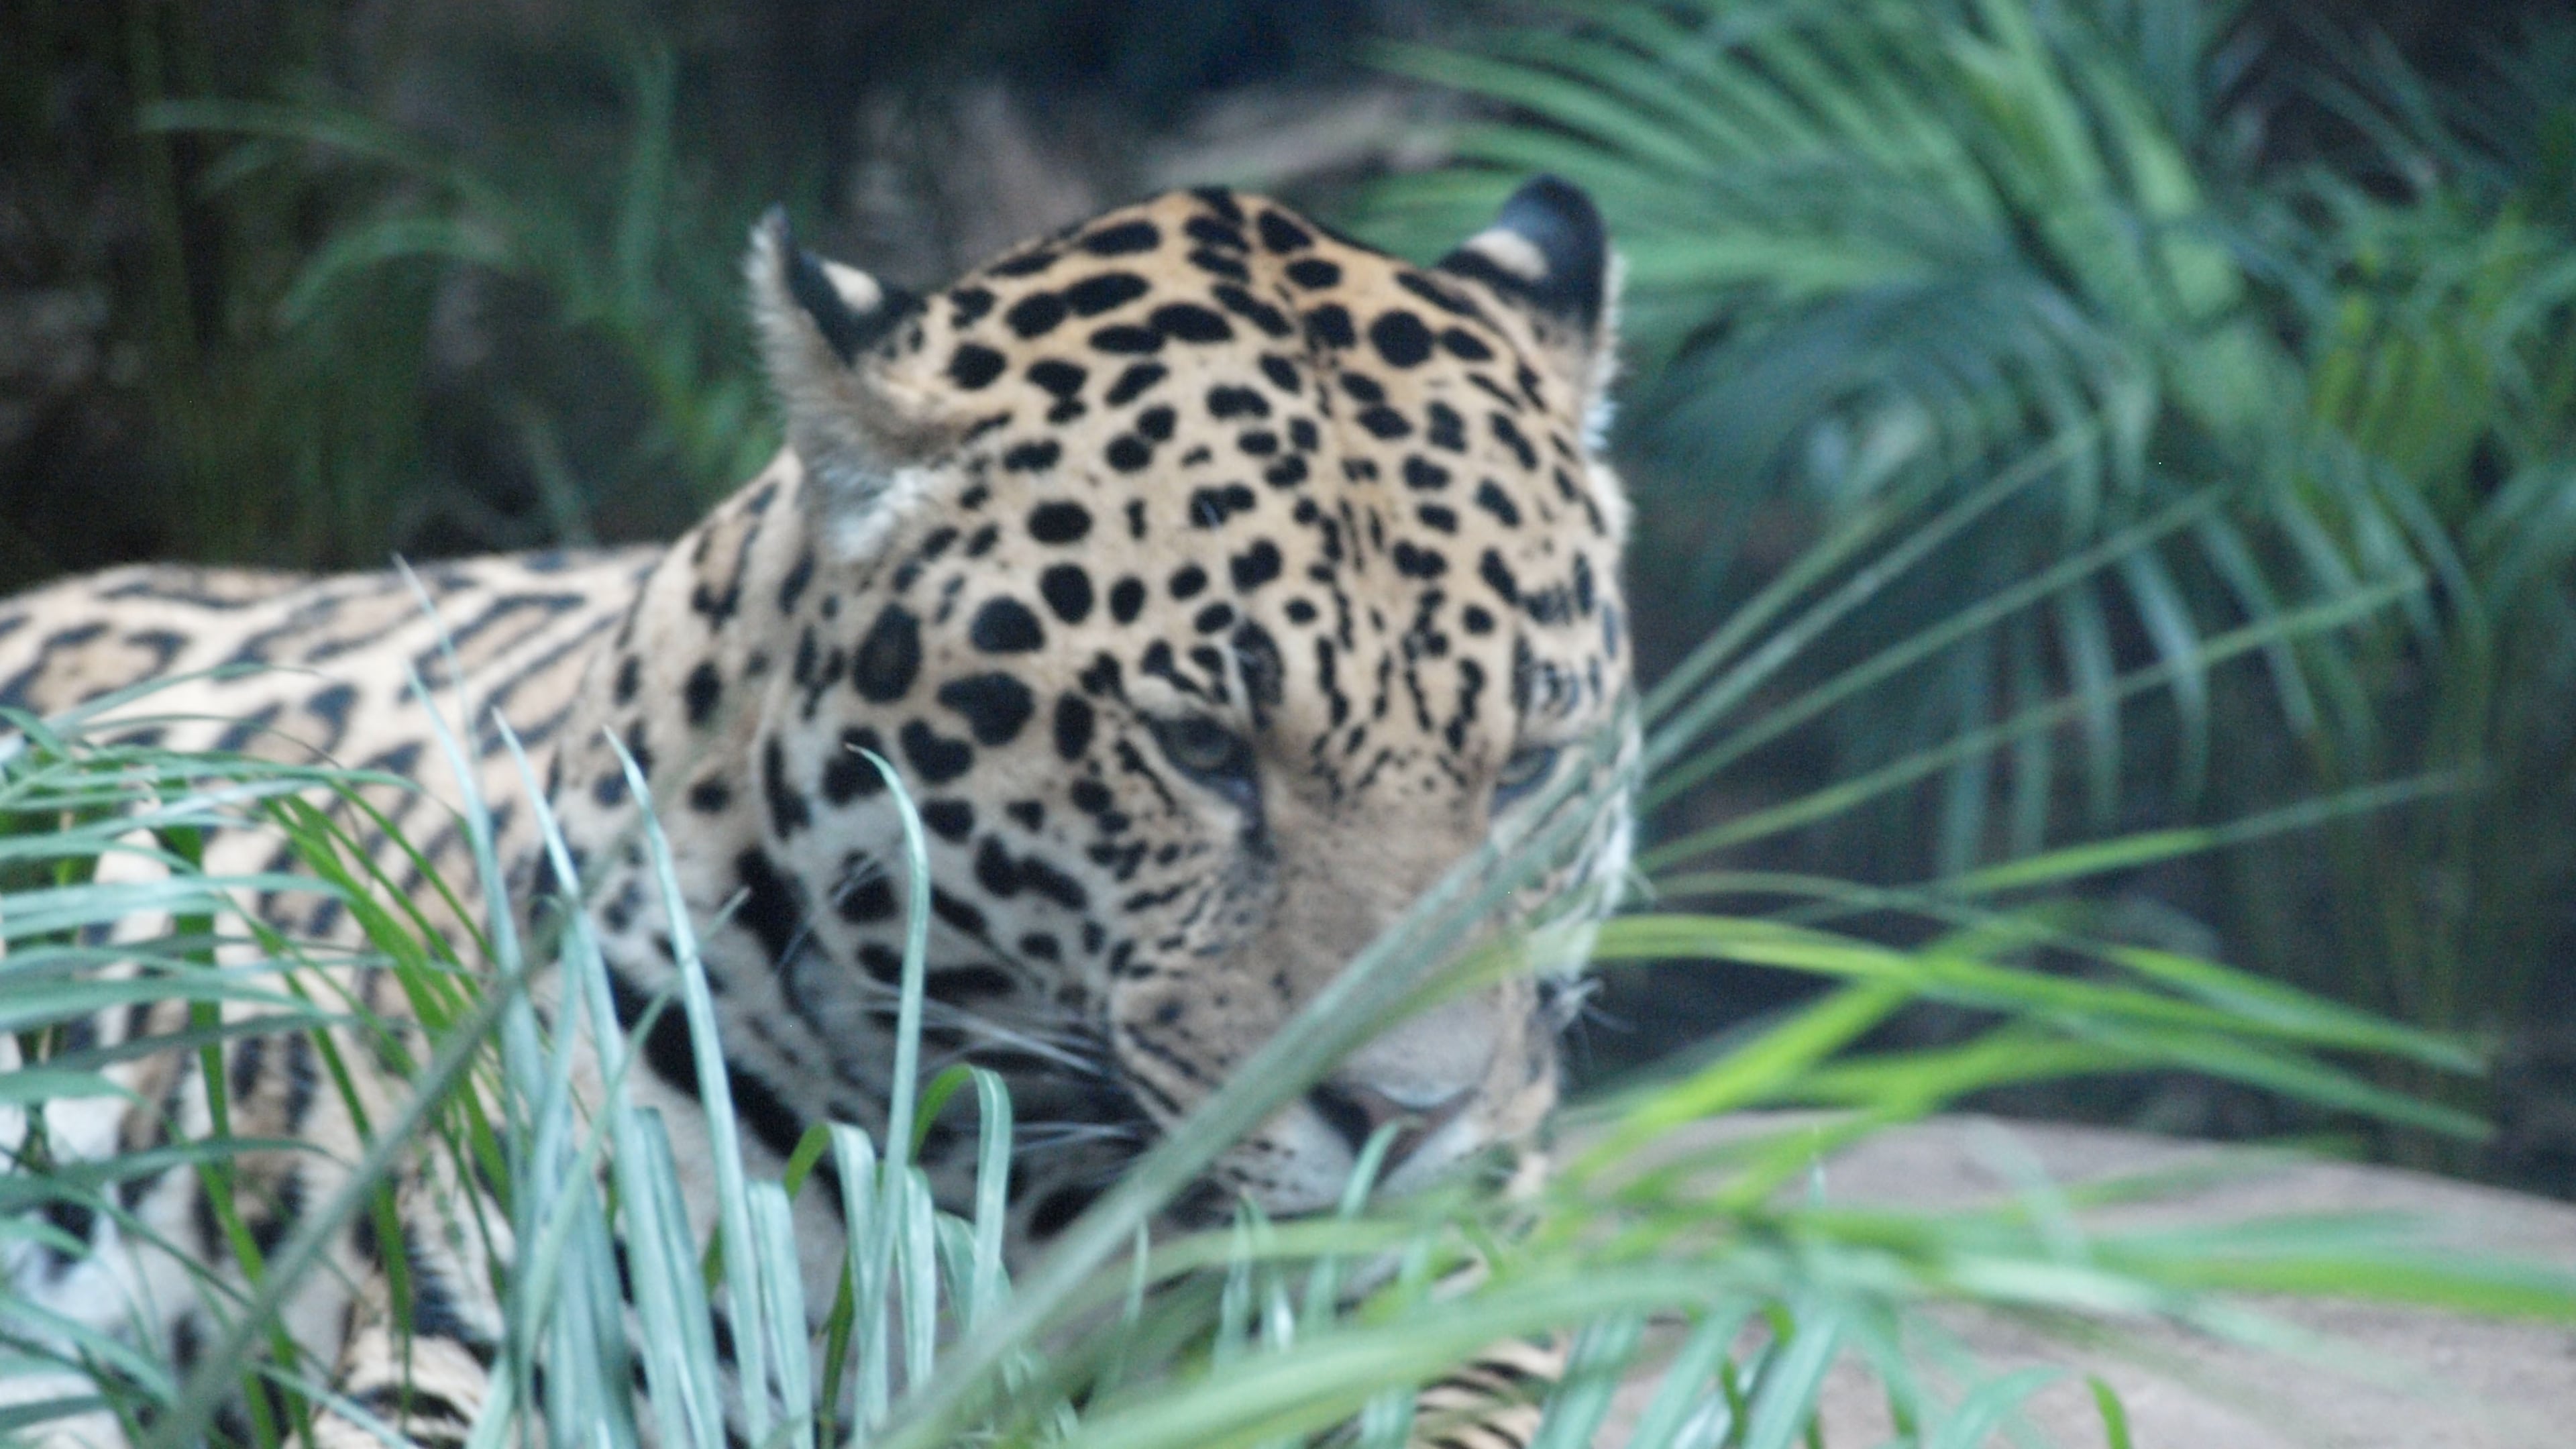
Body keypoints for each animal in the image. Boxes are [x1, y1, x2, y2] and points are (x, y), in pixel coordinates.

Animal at [0, 176, 1637, 1447]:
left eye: (1529, 768)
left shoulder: (1473, 1294)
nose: (1407, 1124)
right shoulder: (537, 1307)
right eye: (1201, 749)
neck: (1006, 1166)